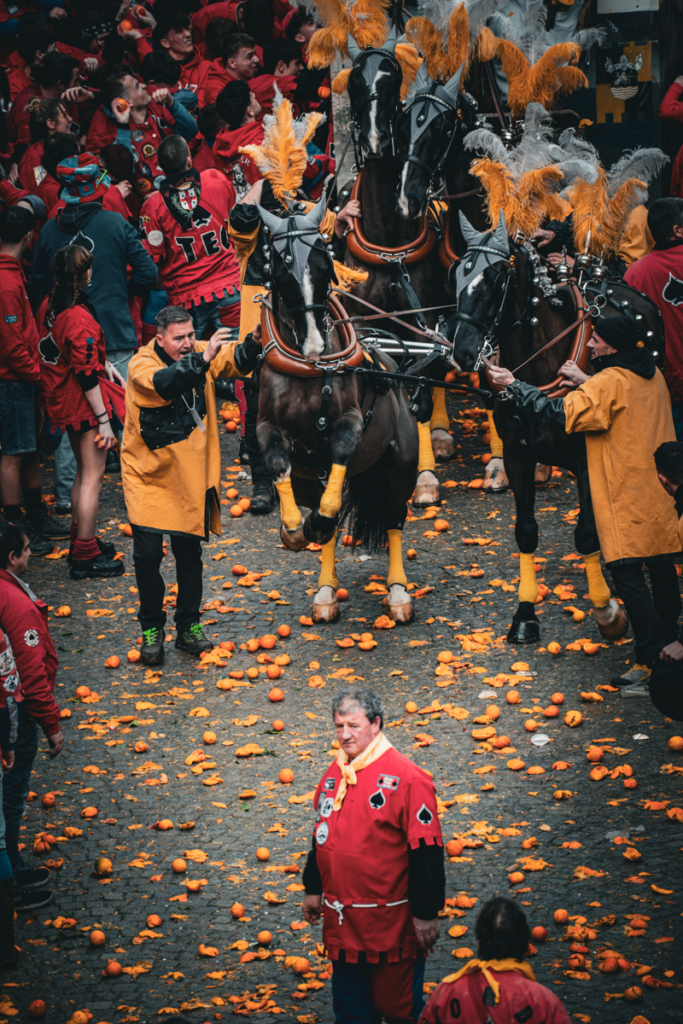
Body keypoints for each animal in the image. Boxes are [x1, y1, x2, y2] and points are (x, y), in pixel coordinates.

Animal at [254, 192, 417, 622]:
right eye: (281, 268)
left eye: (324, 262)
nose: (313, 342)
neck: (310, 369)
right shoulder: (266, 426)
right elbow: (277, 463)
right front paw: (294, 529)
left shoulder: (351, 420)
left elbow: (341, 452)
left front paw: (319, 519)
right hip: (309, 478)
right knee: (321, 518)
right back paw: (326, 590)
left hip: (400, 465)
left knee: (393, 516)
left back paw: (398, 593)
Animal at [448, 211, 634, 643]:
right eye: (457, 275)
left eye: (495, 277)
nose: (462, 352)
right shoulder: (519, 454)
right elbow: (526, 530)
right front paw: (525, 614)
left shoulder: (587, 460)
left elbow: (586, 533)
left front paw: (606, 611)